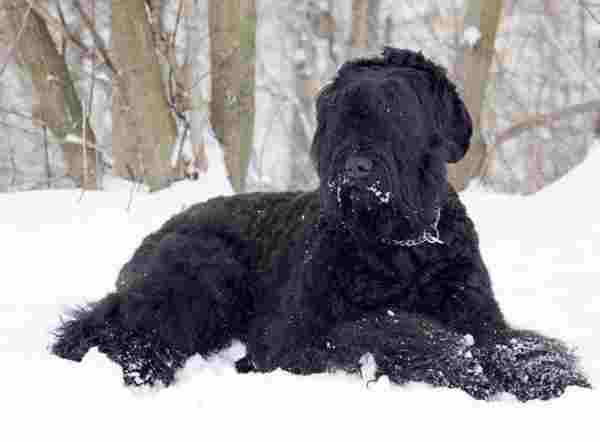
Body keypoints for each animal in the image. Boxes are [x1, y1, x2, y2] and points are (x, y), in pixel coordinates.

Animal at [52, 48, 592, 400]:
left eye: (397, 107)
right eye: (338, 109)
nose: (357, 166)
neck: (401, 243)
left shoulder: (478, 314)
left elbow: (506, 343)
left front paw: (549, 373)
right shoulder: (298, 335)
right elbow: (385, 330)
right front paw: (460, 364)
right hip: (202, 270)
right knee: (112, 322)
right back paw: (136, 362)